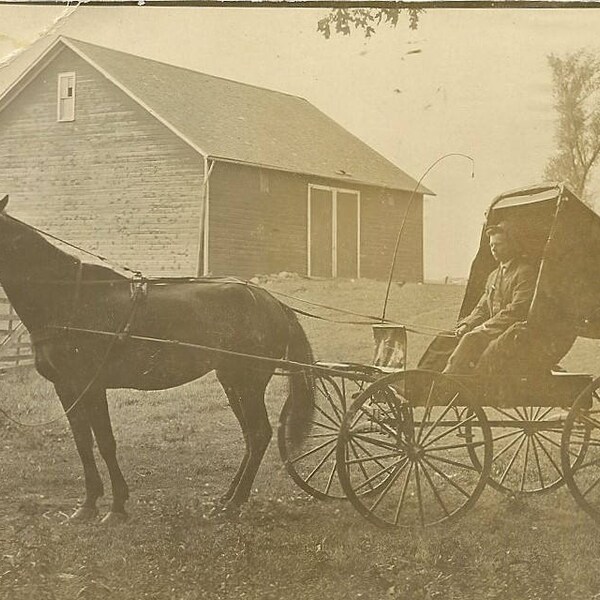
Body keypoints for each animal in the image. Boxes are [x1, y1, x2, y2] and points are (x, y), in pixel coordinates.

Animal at [0, 198, 318, 524]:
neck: (70, 300)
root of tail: (272, 302)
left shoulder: (92, 386)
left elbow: (106, 442)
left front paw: (116, 506)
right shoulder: (67, 388)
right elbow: (83, 443)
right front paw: (88, 505)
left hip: (248, 382)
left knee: (258, 433)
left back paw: (235, 502)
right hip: (231, 381)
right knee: (251, 436)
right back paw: (228, 496)